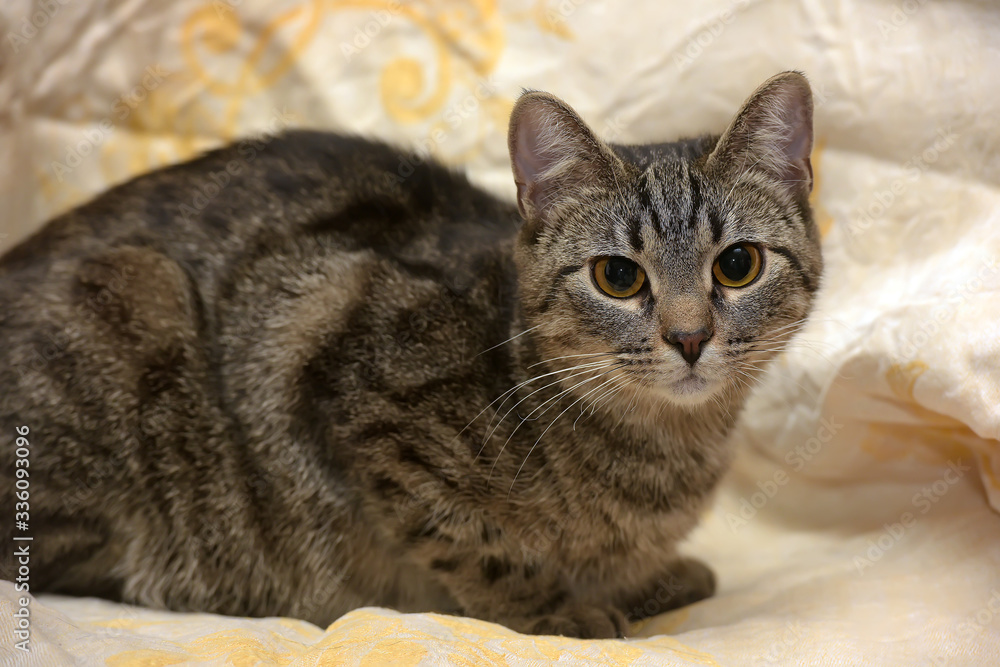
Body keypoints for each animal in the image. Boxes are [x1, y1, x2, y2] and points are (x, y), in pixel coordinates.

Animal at [0, 70, 820, 640]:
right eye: (618, 276)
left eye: (737, 265)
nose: (689, 337)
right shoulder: (356, 381)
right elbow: (475, 545)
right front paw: (557, 609)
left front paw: (642, 578)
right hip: (142, 300)